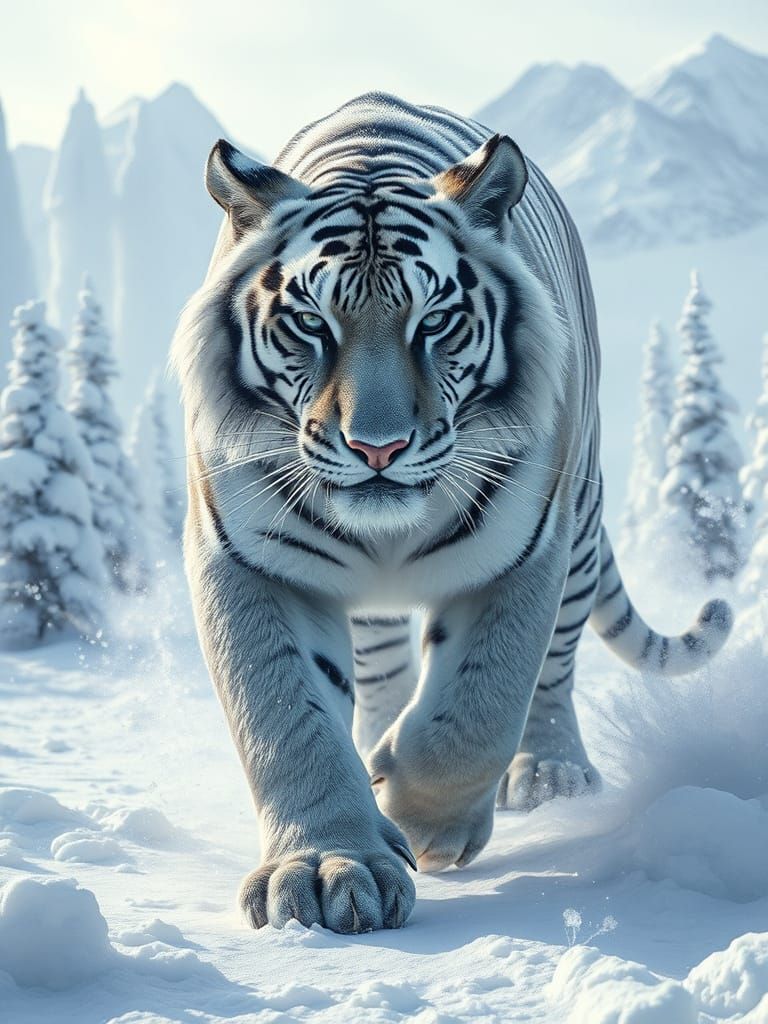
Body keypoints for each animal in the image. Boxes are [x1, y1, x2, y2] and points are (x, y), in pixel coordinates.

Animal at [171, 92, 733, 935]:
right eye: (312, 324)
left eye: (433, 322)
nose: (377, 447)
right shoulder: (245, 556)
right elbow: (286, 716)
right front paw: (327, 867)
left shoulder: (526, 549)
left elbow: (478, 706)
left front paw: (423, 823)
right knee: (379, 669)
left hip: (577, 528)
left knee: (554, 669)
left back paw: (550, 773)